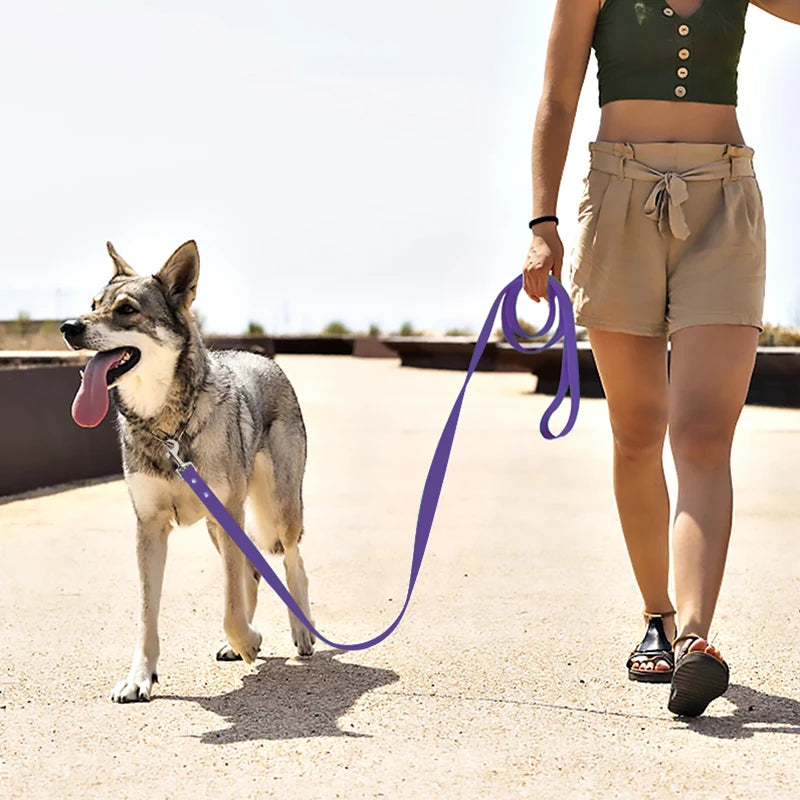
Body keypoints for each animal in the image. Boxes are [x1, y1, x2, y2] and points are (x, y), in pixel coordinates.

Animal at [60, 241, 316, 704]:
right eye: (92, 306)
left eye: (126, 310)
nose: (67, 327)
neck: (166, 428)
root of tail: (262, 358)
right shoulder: (149, 527)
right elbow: (148, 616)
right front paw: (140, 678)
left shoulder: (226, 514)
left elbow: (231, 608)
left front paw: (248, 641)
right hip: (224, 528)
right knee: (253, 569)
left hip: (276, 511)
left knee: (292, 561)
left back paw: (301, 631)